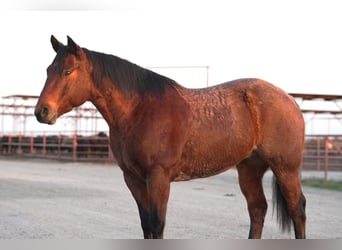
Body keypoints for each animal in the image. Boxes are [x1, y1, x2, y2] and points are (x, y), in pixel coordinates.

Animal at [35, 35, 308, 238]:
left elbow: (157, 224)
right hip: (249, 168)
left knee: (297, 209)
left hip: (285, 168)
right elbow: (146, 224)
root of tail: (289, 99)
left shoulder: (159, 177)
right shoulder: (133, 178)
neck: (139, 110)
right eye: (48, 70)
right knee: (257, 209)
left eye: (68, 71)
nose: (42, 111)